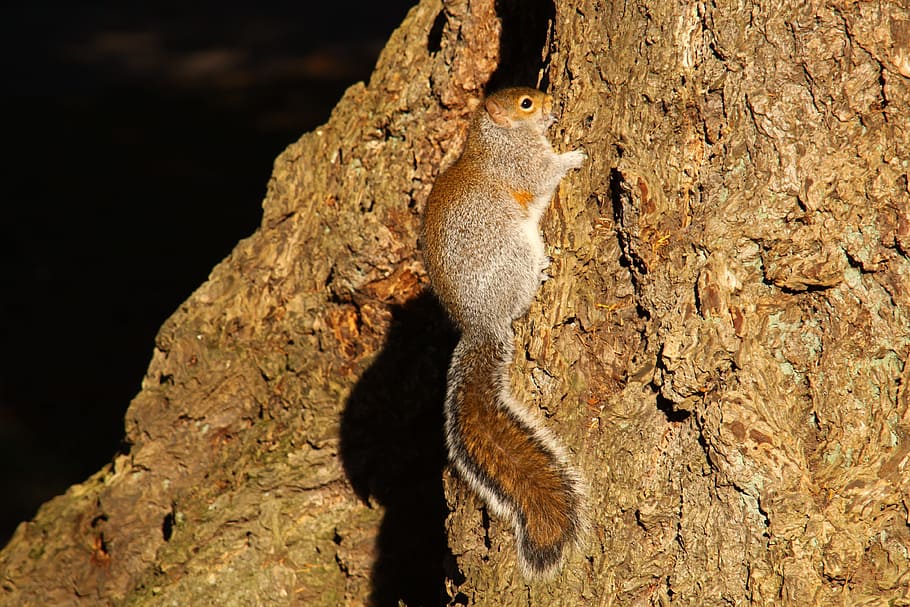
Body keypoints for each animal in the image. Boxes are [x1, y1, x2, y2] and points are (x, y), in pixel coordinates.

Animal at [420, 87, 586, 578]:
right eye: (526, 103)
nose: (551, 102)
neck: (494, 138)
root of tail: (481, 323)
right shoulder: (522, 165)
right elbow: (545, 172)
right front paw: (574, 155)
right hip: (514, 253)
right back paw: (543, 273)